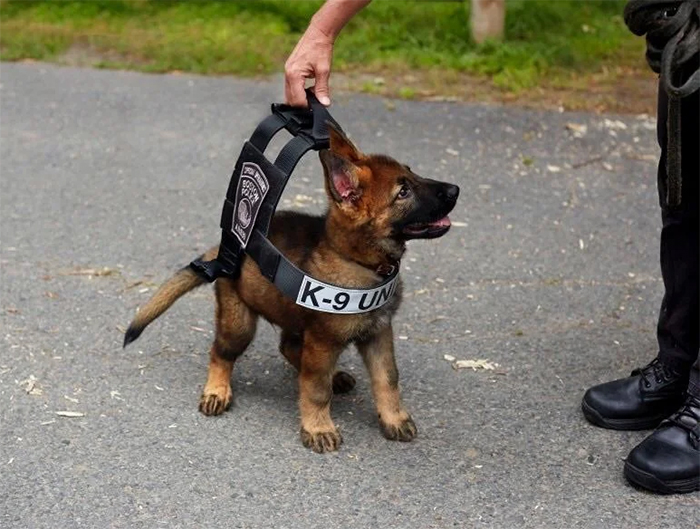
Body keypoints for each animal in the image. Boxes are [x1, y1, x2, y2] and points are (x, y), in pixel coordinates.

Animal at [125, 122, 460, 450]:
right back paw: (217, 390)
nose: (455, 189)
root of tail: (223, 249)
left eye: (412, 174)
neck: (359, 262)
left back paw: (334, 376)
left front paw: (393, 418)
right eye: (403, 192)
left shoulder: (378, 333)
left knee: (289, 347)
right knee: (221, 352)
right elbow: (316, 389)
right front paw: (319, 427)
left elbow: (387, 378)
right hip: (240, 323)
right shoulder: (323, 342)